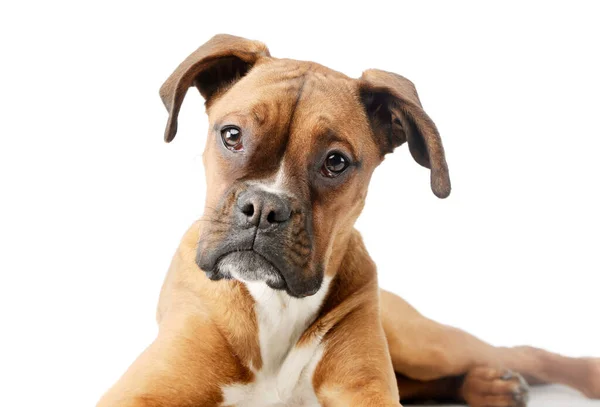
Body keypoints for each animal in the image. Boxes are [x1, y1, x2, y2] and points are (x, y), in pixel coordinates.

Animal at [98, 35, 600, 407]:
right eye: (232, 135)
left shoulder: (366, 391)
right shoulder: (140, 393)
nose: (264, 207)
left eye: (336, 162)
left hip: (423, 343)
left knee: (522, 353)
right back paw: (490, 386)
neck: (275, 303)